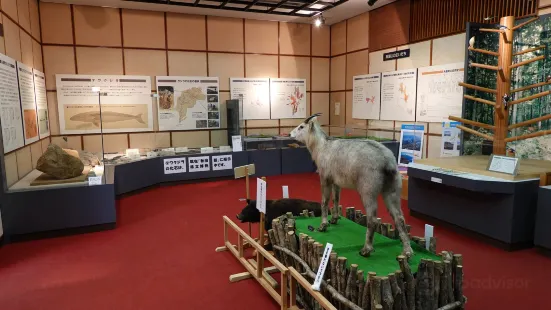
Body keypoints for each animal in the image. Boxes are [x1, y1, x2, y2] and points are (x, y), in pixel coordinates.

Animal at [288, 113, 414, 256]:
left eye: (301, 127)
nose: (289, 134)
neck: (322, 146)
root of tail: (388, 161)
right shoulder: (336, 182)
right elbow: (336, 199)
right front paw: (334, 219)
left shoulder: (325, 179)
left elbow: (324, 201)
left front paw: (323, 225)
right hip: (392, 190)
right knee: (399, 218)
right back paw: (407, 251)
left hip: (368, 191)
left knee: (372, 219)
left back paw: (366, 249)